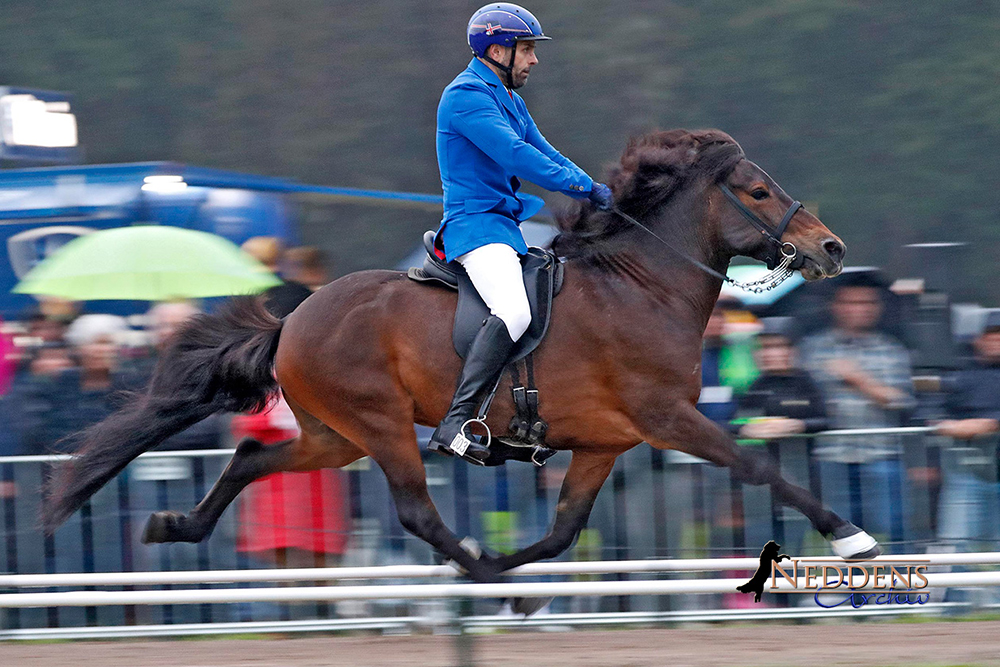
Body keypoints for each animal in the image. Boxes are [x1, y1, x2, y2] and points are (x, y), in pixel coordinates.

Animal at [43, 129, 880, 600]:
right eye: (757, 190)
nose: (831, 247)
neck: (643, 286)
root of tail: (293, 316)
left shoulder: (605, 442)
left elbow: (561, 533)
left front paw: (519, 578)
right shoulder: (668, 418)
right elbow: (761, 466)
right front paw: (851, 538)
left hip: (334, 434)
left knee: (252, 454)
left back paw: (175, 522)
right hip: (380, 422)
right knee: (414, 509)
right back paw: (477, 564)